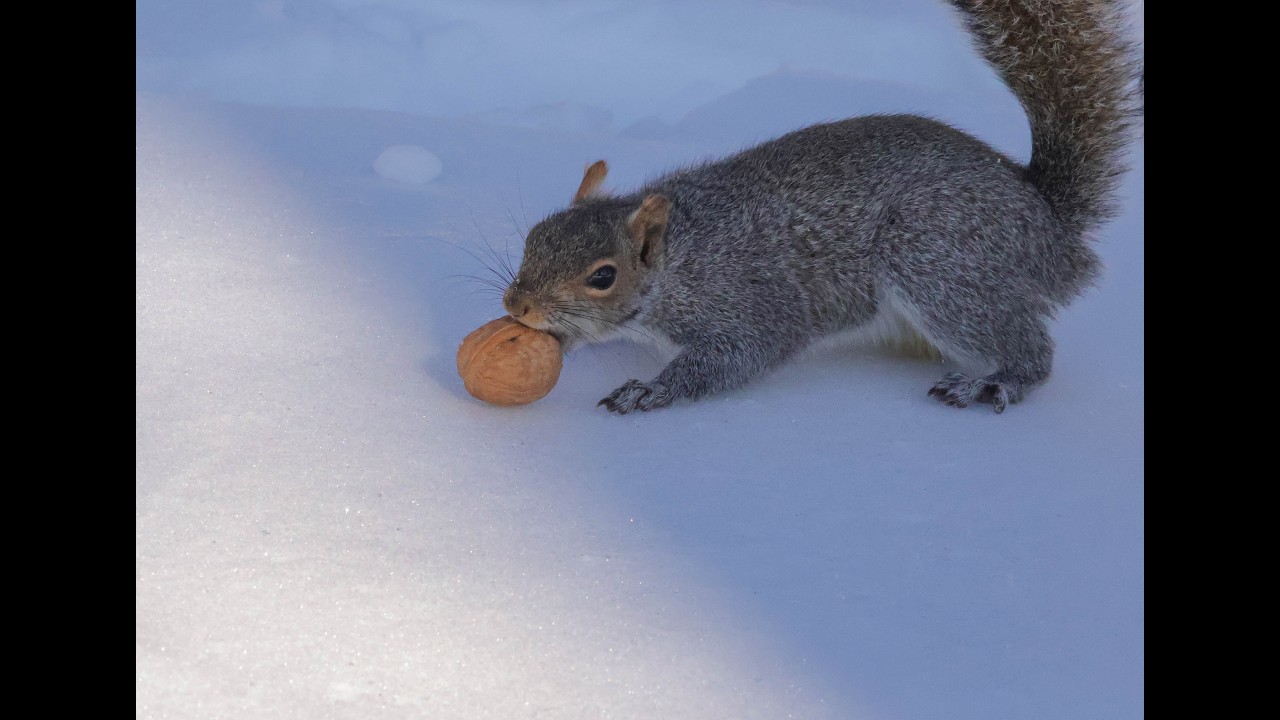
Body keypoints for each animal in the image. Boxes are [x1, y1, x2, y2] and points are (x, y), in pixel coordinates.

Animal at [500, 0, 1139, 414]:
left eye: (603, 276)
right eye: (534, 238)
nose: (517, 306)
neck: (681, 261)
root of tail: (1048, 224)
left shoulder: (749, 302)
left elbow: (740, 354)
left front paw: (652, 389)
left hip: (939, 263)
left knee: (1031, 347)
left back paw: (995, 382)